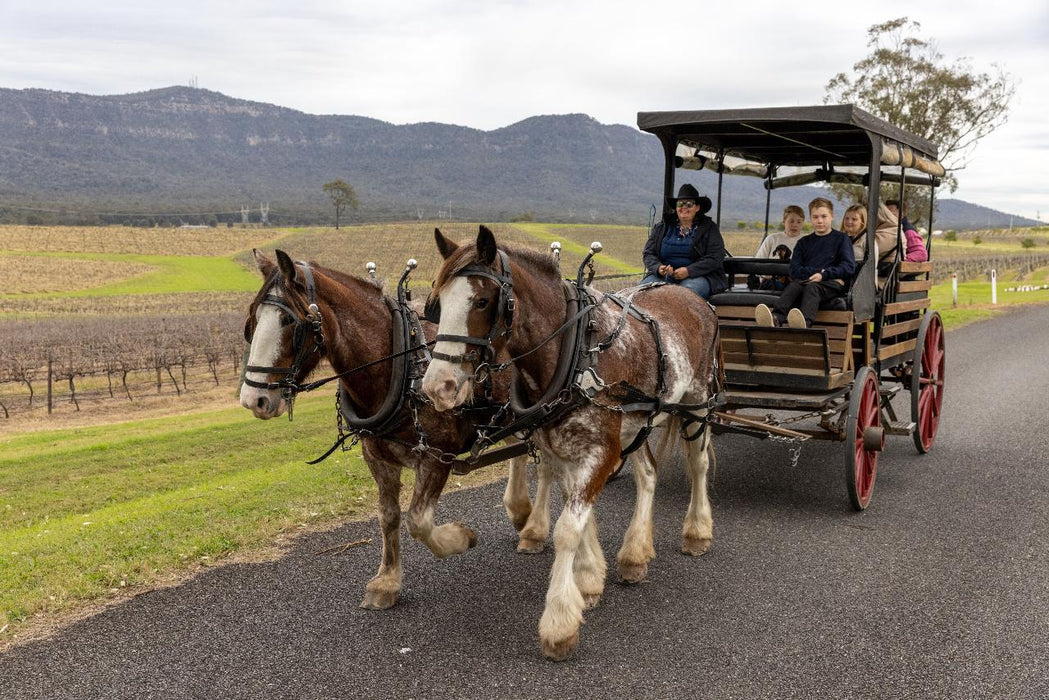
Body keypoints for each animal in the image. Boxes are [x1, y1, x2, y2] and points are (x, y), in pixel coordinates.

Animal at [237, 250, 549, 608]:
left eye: (289, 322)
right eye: (253, 320)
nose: (253, 399)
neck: (399, 363)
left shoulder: (436, 456)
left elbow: (418, 521)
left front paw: (461, 537)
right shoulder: (377, 457)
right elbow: (389, 517)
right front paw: (386, 581)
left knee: (548, 466)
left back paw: (535, 530)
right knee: (522, 453)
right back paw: (520, 512)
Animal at [419, 228, 721, 663]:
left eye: (481, 301)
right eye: (438, 303)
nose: (436, 387)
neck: (573, 352)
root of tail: (691, 296)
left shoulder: (600, 451)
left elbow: (567, 529)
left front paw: (559, 622)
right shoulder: (562, 448)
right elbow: (580, 515)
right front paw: (589, 578)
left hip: (697, 402)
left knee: (698, 466)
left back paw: (696, 531)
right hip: (637, 421)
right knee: (648, 474)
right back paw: (635, 553)